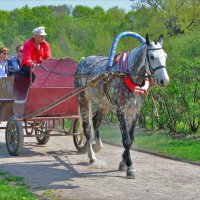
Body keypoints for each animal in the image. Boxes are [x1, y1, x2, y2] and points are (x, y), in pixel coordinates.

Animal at [74, 34, 169, 178]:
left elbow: (132, 138)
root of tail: (83, 60)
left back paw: (98, 145)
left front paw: (123, 162)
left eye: (165, 55)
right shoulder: (121, 111)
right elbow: (126, 140)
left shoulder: (135, 111)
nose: (164, 80)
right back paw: (92, 157)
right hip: (83, 99)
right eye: (152, 56)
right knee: (87, 129)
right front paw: (129, 167)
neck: (127, 75)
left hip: (104, 104)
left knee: (95, 121)